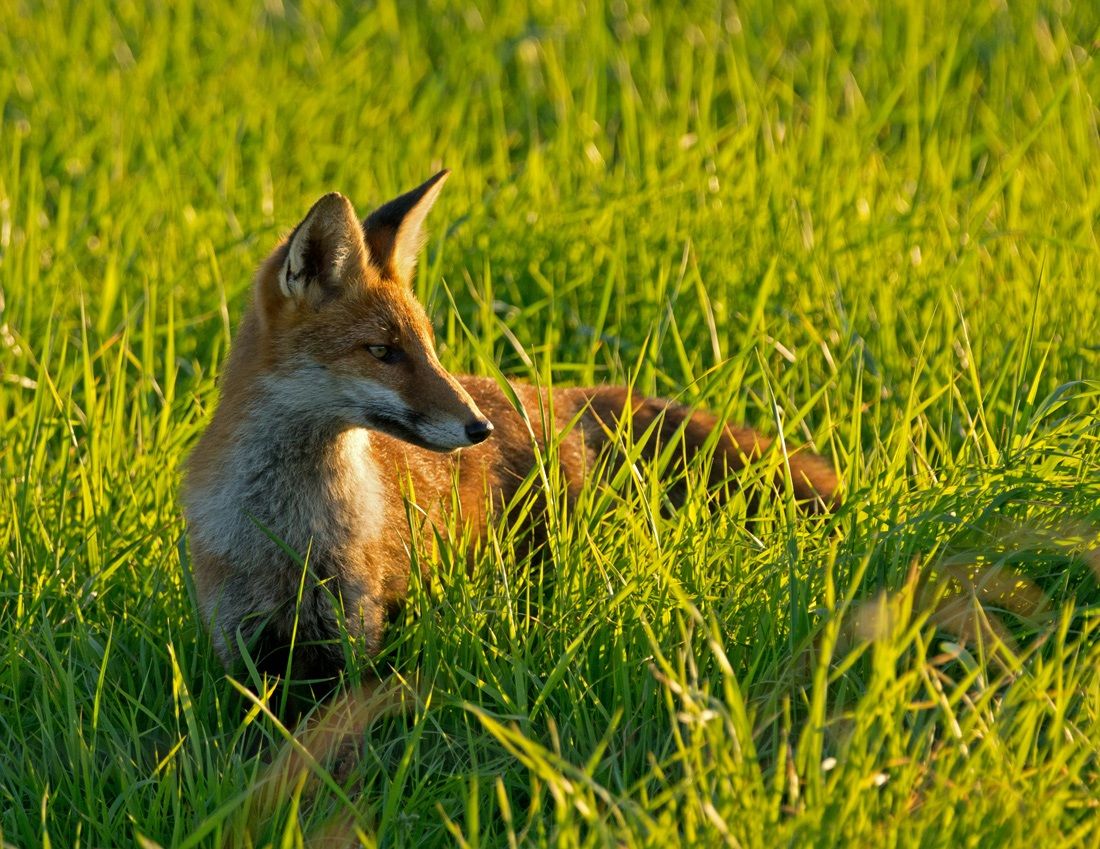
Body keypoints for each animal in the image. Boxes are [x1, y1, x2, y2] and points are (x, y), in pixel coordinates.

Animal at [182, 170, 839, 694]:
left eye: (428, 348)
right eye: (383, 352)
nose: (478, 427)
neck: (287, 533)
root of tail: (553, 395)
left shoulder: (353, 633)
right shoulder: (241, 641)